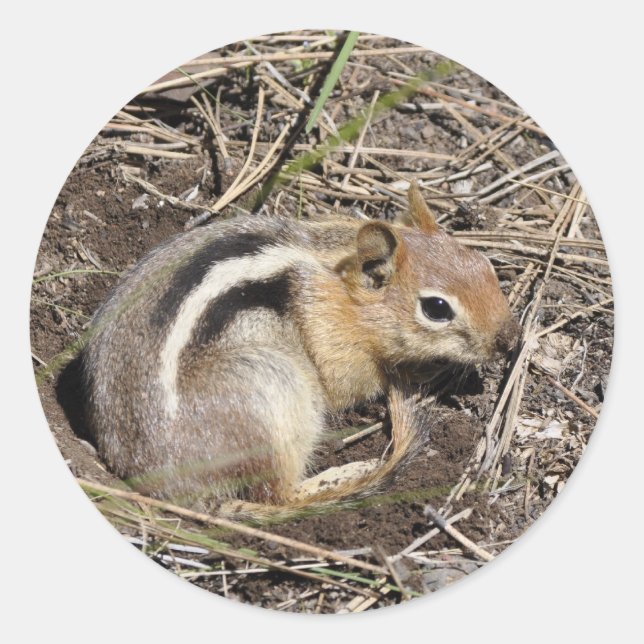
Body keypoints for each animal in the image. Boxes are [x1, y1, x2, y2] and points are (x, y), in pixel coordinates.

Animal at [81, 182, 520, 521]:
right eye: (436, 308)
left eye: (483, 264)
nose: (510, 339)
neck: (340, 282)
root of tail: (183, 494)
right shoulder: (331, 342)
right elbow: (353, 388)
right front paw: (422, 370)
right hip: (274, 387)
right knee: (278, 495)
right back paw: (347, 473)